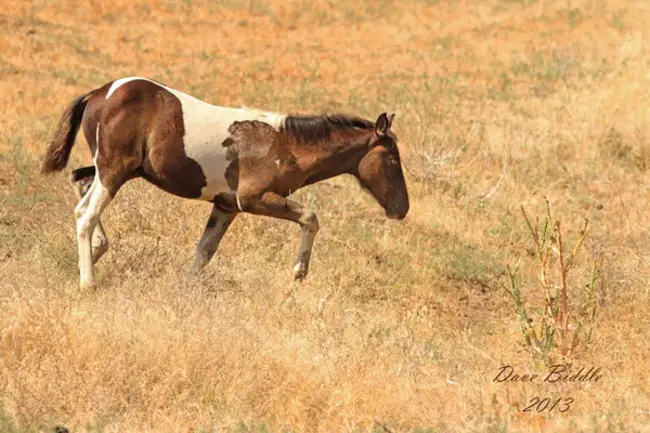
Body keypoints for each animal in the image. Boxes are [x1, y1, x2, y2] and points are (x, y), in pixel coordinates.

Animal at [40, 77, 408, 288]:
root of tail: (99, 93)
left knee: (80, 181)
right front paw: (299, 271)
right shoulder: (253, 199)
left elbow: (205, 250)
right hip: (115, 168)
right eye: (392, 159)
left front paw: (186, 290)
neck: (286, 144)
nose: (402, 209)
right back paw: (88, 282)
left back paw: (97, 249)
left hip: (117, 168)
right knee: (85, 212)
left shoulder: (227, 206)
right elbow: (311, 216)